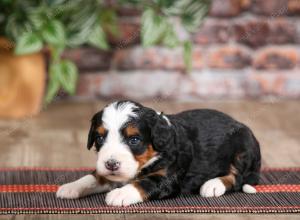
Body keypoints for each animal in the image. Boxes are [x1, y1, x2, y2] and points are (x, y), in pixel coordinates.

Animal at [55, 99, 260, 206]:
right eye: (99, 138)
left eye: (134, 140)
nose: (111, 164)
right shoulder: (108, 174)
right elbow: (92, 177)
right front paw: (71, 187)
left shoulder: (167, 177)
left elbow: (144, 183)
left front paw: (120, 194)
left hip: (243, 147)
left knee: (237, 177)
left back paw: (213, 185)